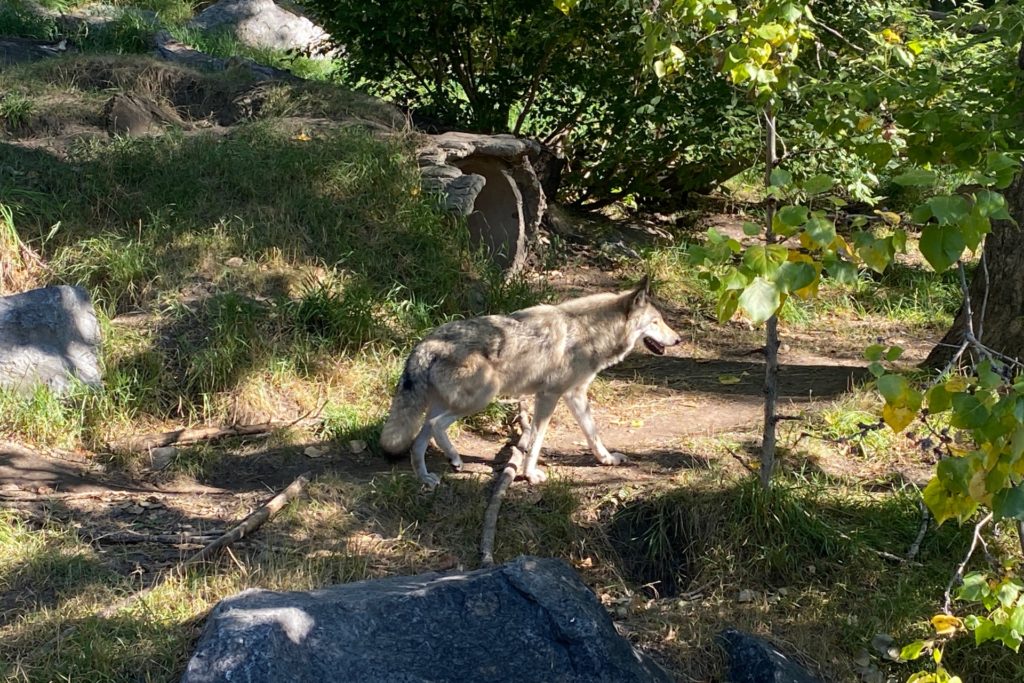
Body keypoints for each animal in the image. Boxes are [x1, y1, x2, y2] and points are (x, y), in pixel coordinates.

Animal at [380, 280, 684, 489]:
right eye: (656, 322)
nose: (678, 339)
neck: (588, 333)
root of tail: (425, 344)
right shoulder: (548, 396)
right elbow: (537, 439)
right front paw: (530, 475)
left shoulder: (575, 395)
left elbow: (592, 434)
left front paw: (607, 460)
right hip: (482, 397)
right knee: (435, 426)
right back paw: (454, 459)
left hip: (447, 404)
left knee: (419, 441)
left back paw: (426, 478)